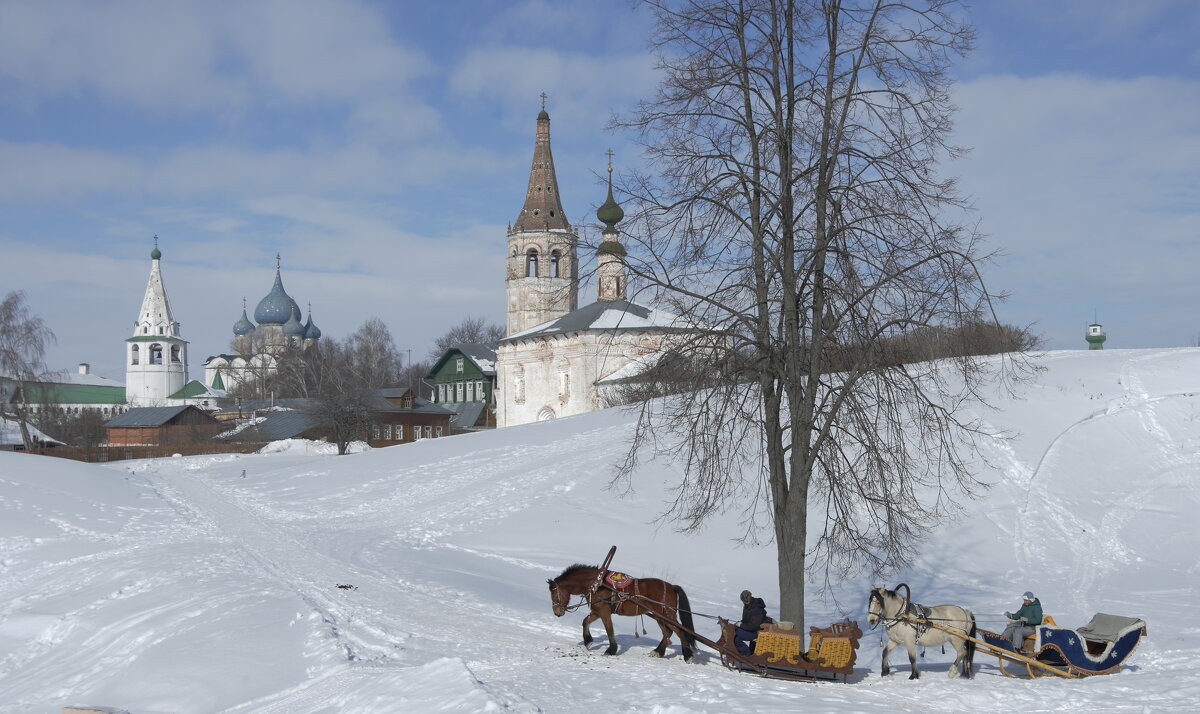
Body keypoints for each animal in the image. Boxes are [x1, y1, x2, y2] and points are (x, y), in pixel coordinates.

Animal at [544, 564, 696, 657]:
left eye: (554, 593)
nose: (557, 612)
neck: (597, 584)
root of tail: (672, 586)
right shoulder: (597, 611)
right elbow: (585, 621)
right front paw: (588, 641)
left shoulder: (604, 612)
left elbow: (609, 630)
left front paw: (611, 650)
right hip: (659, 616)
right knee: (668, 632)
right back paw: (658, 652)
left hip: (666, 615)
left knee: (679, 631)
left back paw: (687, 655)